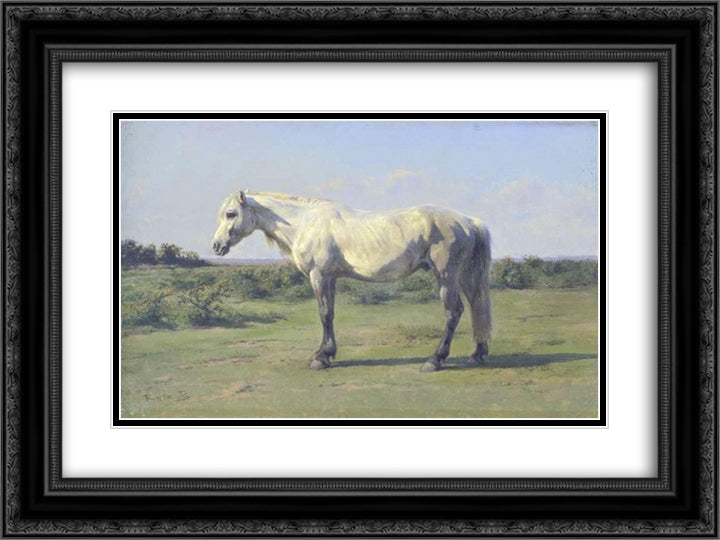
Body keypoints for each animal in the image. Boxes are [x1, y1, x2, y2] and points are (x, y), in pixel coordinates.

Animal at [211, 191, 492, 372]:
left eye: (231, 214)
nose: (216, 246)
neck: (304, 222)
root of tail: (468, 221)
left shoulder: (319, 275)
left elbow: (324, 314)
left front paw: (321, 358)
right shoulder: (330, 278)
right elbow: (330, 313)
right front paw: (327, 353)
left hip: (446, 275)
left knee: (454, 311)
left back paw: (435, 360)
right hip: (464, 275)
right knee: (476, 305)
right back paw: (477, 354)